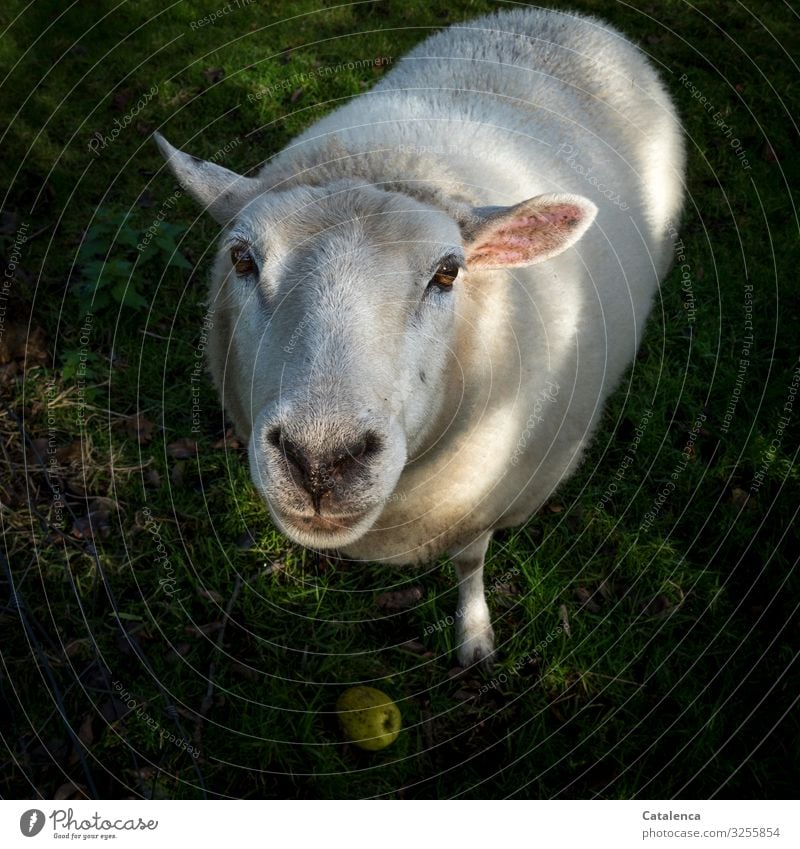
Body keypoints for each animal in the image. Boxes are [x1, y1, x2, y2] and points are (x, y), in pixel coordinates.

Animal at [158, 8, 688, 668]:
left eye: (448, 273)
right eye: (241, 258)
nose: (321, 461)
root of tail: (567, 17)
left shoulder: (487, 497)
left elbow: (470, 559)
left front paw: (474, 633)